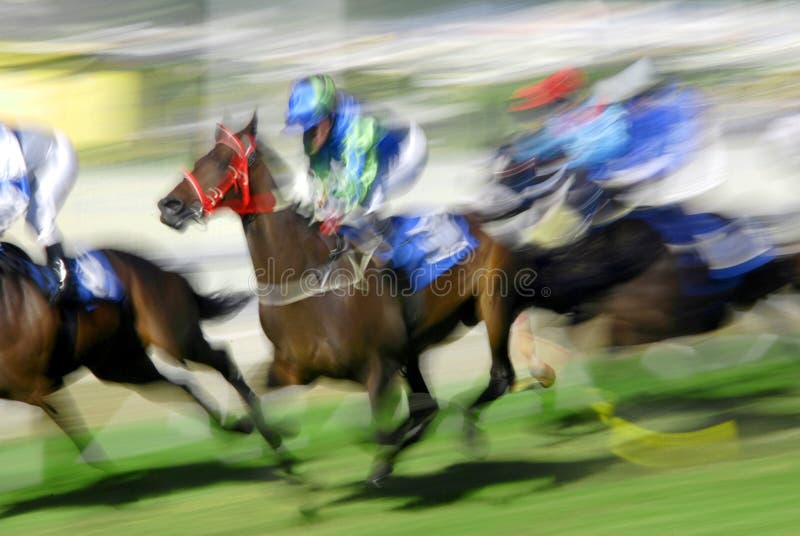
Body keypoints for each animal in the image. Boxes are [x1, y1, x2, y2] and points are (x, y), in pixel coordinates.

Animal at [0, 243, 284, 464]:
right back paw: (236, 426)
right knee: (180, 382)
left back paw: (271, 436)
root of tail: (165, 271)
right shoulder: (34, 392)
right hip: (120, 365)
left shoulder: (36, 388)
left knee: (220, 360)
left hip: (176, 340)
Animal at [155, 113, 664, 482]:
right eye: (200, 157)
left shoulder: (377, 367)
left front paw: (380, 460)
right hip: (418, 347)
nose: (169, 206)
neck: (307, 275)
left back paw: (467, 429)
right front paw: (274, 451)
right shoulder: (292, 369)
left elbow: (383, 430)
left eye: (223, 161)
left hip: (492, 306)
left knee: (498, 377)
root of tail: (498, 222)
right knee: (435, 401)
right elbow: (259, 403)